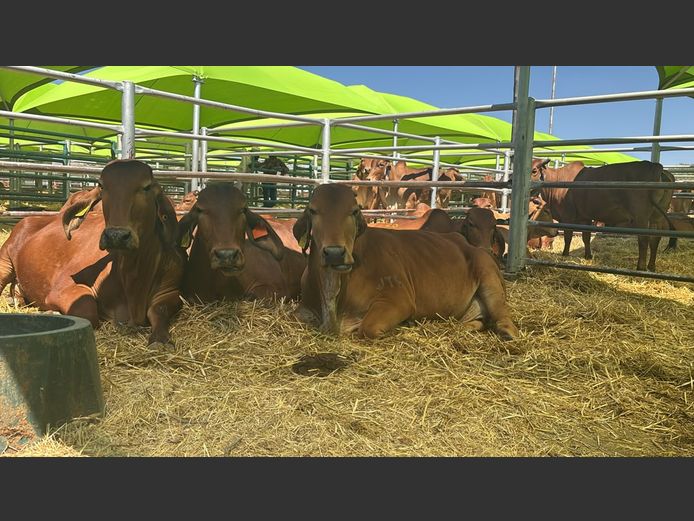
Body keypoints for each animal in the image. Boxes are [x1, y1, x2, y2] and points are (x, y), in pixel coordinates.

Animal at [0, 160, 185, 348]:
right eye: (102, 186)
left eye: (146, 187)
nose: (116, 235)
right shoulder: (63, 289)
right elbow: (87, 311)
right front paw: (51, 313)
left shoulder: (170, 292)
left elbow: (159, 311)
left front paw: (160, 339)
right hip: (5, 261)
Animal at [291, 183, 518, 340]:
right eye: (313, 210)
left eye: (354, 211)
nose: (334, 253)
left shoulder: (398, 300)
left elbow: (367, 328)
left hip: (489, 278)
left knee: (503, 317)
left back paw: (508, 332)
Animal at [531, 158, 675, 271]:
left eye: (534, 170)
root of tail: (657, 167)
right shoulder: (586, 218)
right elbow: (586, 237)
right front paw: (588, 256)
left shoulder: (567, 216)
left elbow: (568, 237)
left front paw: (565, 254)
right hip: (657, 216)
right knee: (655, 239)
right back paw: (651, 266)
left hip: (641, 216)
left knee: (644, 239)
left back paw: (641, 267)